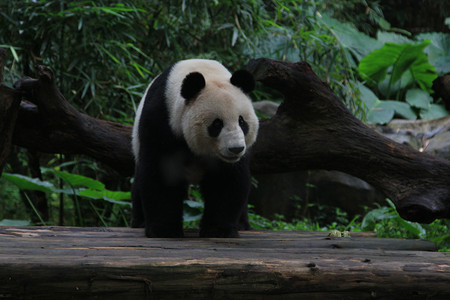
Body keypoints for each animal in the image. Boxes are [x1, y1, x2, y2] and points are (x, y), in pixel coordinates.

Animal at [131, 58, 256, 237]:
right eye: (217, 124)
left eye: (242, 121)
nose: (236, 149)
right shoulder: (161, 121)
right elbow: (161, 173)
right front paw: (165, 230)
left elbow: (227, 180)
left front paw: (218, 230)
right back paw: (140, 222)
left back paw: (242, 224)